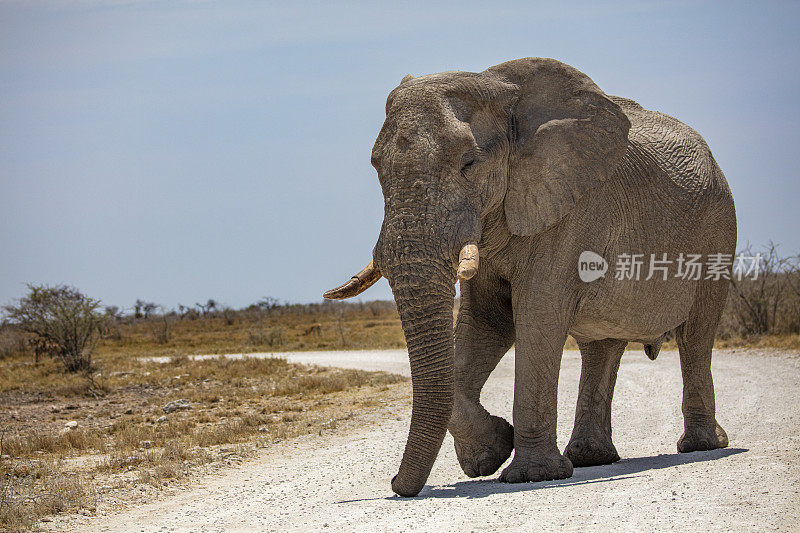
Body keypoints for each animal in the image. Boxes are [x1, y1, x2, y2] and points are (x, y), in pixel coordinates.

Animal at [324, 57, 732, 494]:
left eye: (469, 163)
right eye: (376, 168)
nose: (397, 485)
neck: (500, 90)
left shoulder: (567, 209)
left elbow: (537, 315)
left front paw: (531, 476)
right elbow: (485, 321)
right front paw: (490, 455)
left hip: (718, 231)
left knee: (696, 335)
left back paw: (702, 446)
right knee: (601, 345)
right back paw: (590, 458)